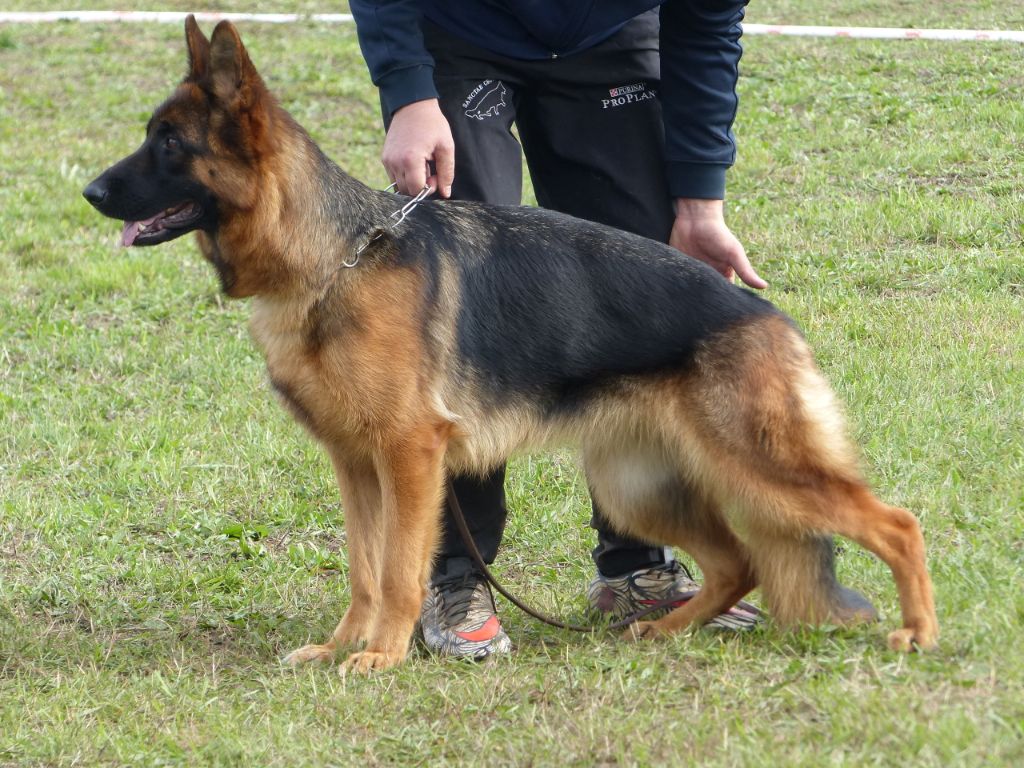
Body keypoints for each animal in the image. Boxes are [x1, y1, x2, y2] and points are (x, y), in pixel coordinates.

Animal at [83, 18, 937, 671]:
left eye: (169, 144)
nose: (88, 192)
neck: (333, 257)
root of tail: (767, 316)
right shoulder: (356, 465)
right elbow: (363, 570)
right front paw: (341, 647)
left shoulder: (409, 457)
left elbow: (399, 572)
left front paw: (381, 656)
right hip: (635, 484)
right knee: (740, 562)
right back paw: (663, 629)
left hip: (758, 468)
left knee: (895, 523)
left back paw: (919, 632)